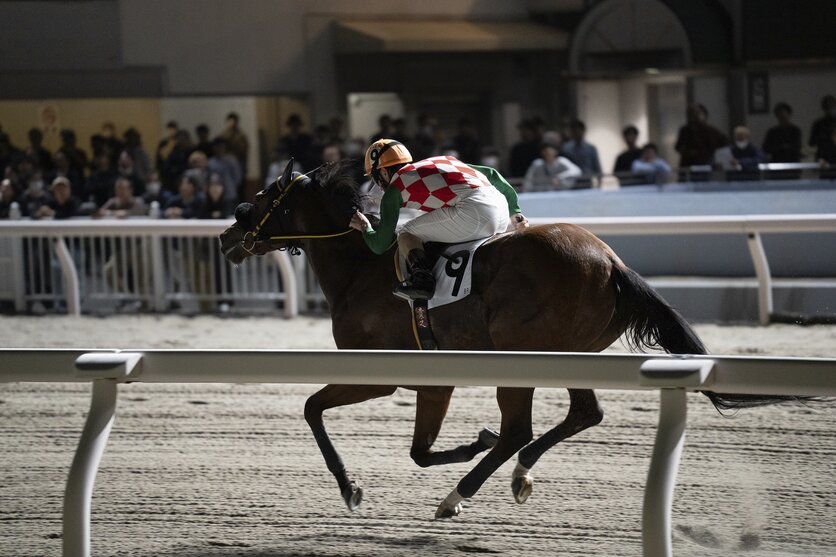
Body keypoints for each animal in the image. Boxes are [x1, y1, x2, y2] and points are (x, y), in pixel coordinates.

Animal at [222, 163, 784, 520]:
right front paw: (473, 443)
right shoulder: (433, 381)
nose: (228, 236)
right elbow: (418, 452)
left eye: (265, 198)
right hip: (571, 356)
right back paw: (518, 474)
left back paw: (458, 495)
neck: (362, 269)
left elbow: (313, 410)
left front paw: (350, 489)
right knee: (583, 413)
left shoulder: (379, 373)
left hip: (520, 353)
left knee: (520, 429)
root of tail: (611, 262)